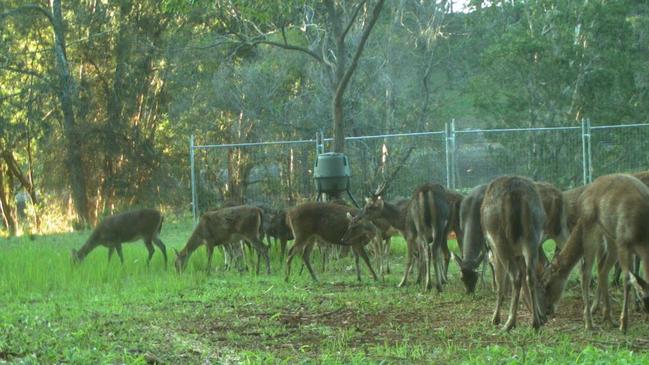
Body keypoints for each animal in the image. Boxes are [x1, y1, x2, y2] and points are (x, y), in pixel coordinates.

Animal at [480, 176, 548, 330]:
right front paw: (540, 315)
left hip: (500, 241)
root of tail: (514, 194)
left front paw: (495, 318)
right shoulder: (519, 254)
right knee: (530, 275)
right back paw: (535, 322)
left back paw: (509, 322)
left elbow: (500, 282)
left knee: (515, 276)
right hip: (532, 236)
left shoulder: (495, 252)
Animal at [540, 173, 648, 332]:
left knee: (595, 271)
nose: (547, 310)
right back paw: (594, 319)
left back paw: (601, 318)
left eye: (547, 283)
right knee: (590, 272)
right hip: (598, 234)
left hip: (601, 236)